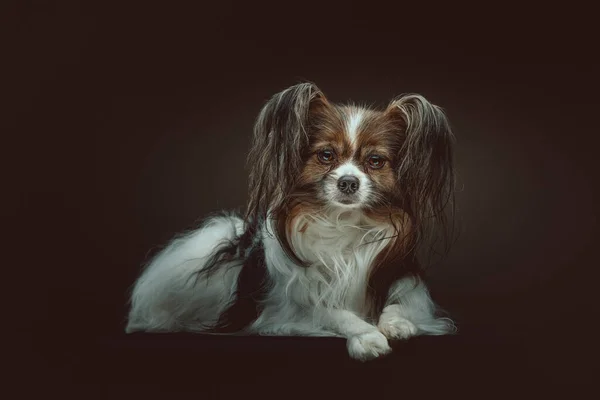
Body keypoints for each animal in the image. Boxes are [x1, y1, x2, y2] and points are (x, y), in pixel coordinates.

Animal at [125, 83, 454, 360]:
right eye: (326, 155)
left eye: (375, 161)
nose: (348, 182)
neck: (342, 222)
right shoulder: (289, 310)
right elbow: (332, 312)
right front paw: (367, 336)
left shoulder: (407, 282)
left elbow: (404, 302)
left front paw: (398, 323)